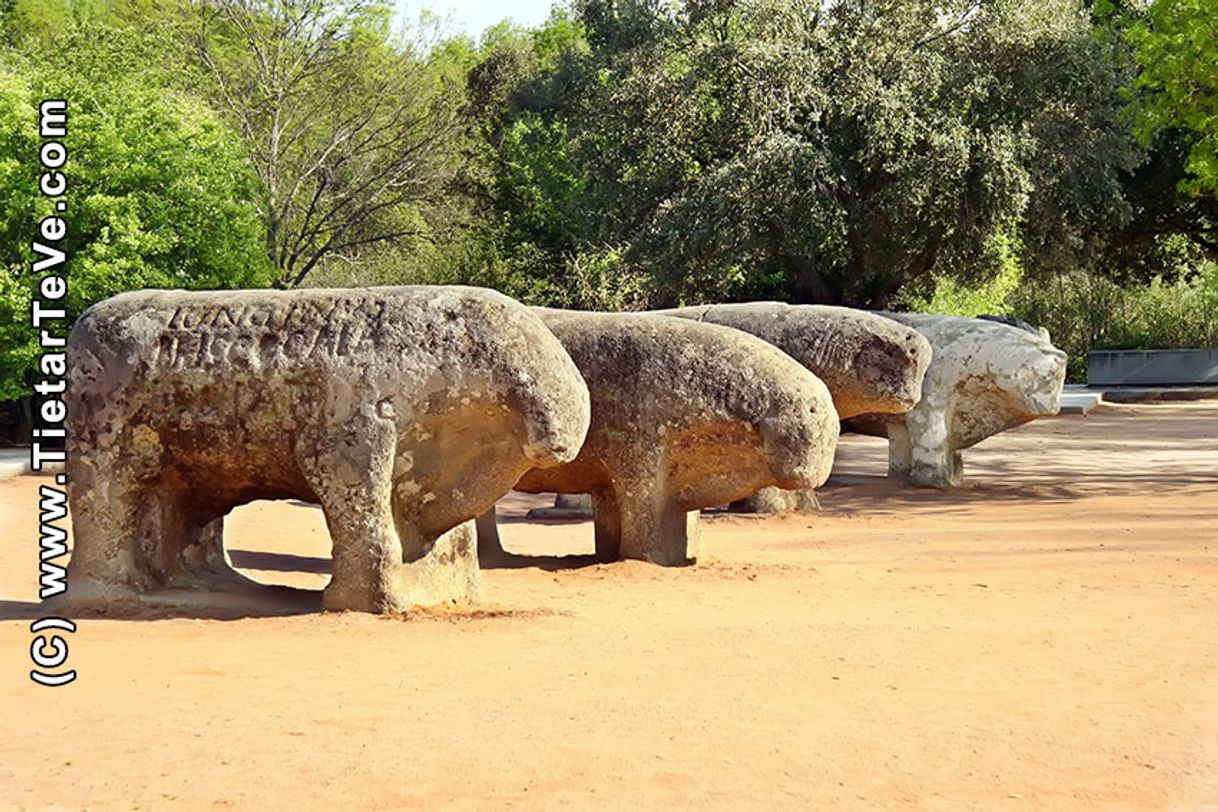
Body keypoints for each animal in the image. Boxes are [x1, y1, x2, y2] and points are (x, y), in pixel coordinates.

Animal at [64, 286, 591, 608]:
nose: (558, 434)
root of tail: (85, 325)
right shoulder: (350, 434)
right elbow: (367, 527)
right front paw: (363, 598)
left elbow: (450, 545)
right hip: (104, 448)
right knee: (106, 511)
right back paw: (107, 589)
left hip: (194, 467)